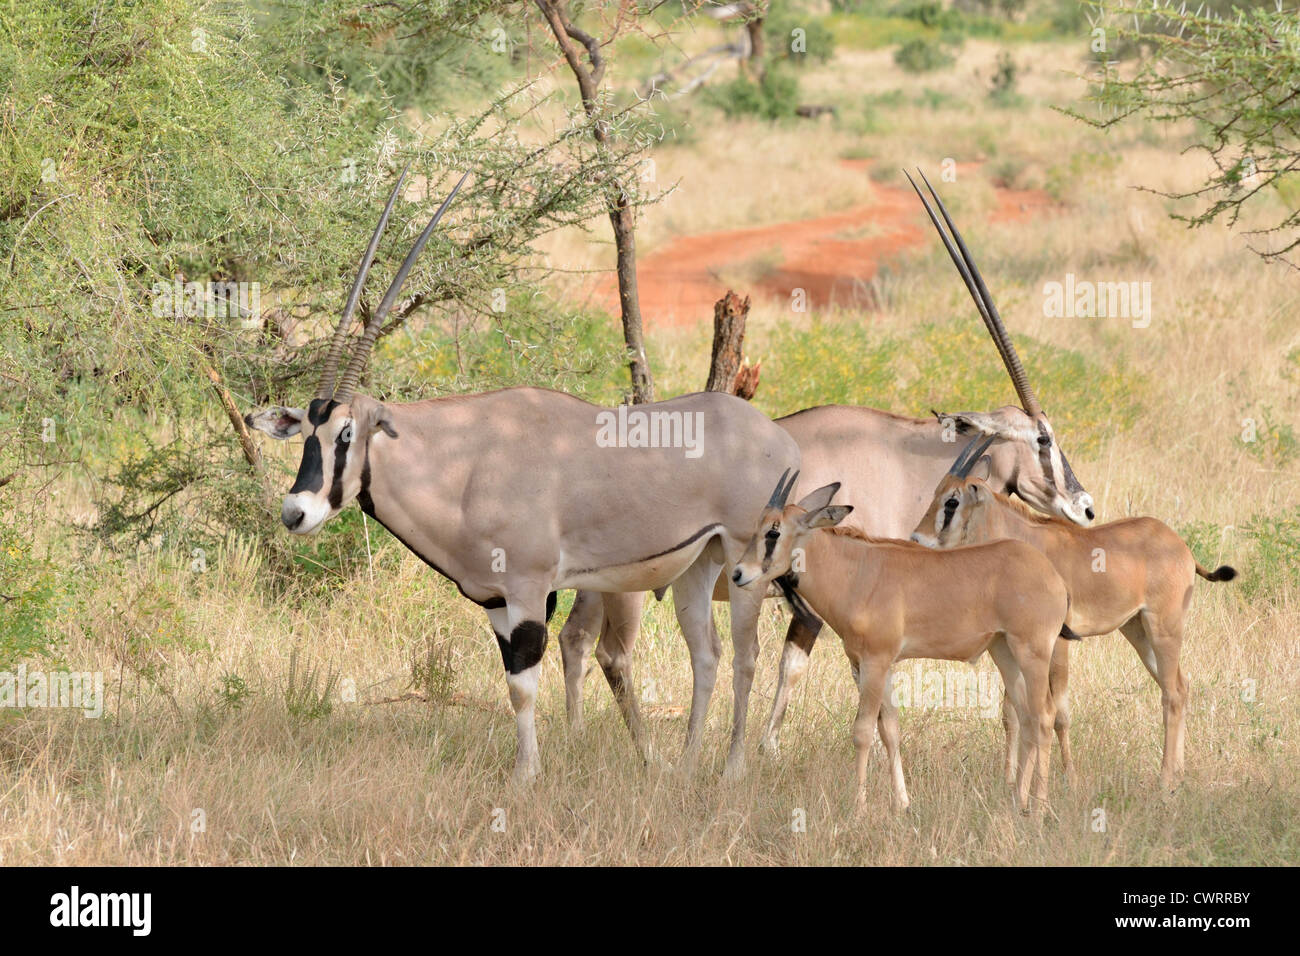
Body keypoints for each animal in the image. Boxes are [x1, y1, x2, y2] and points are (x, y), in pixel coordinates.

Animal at [909, 460, 1232, 790]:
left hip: (1163, 628)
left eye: (952, 501)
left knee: (1172, 693)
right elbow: (1012, 710)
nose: (917, 540)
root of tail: (1180, 545)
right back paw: (1178, 775)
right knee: (1180, 685)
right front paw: (1009, 778)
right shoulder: (1016, 641)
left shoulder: (1057, 643)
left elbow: (1059, 713)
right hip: (1137, 631)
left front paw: (1069, 779)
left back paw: (1165, 780)